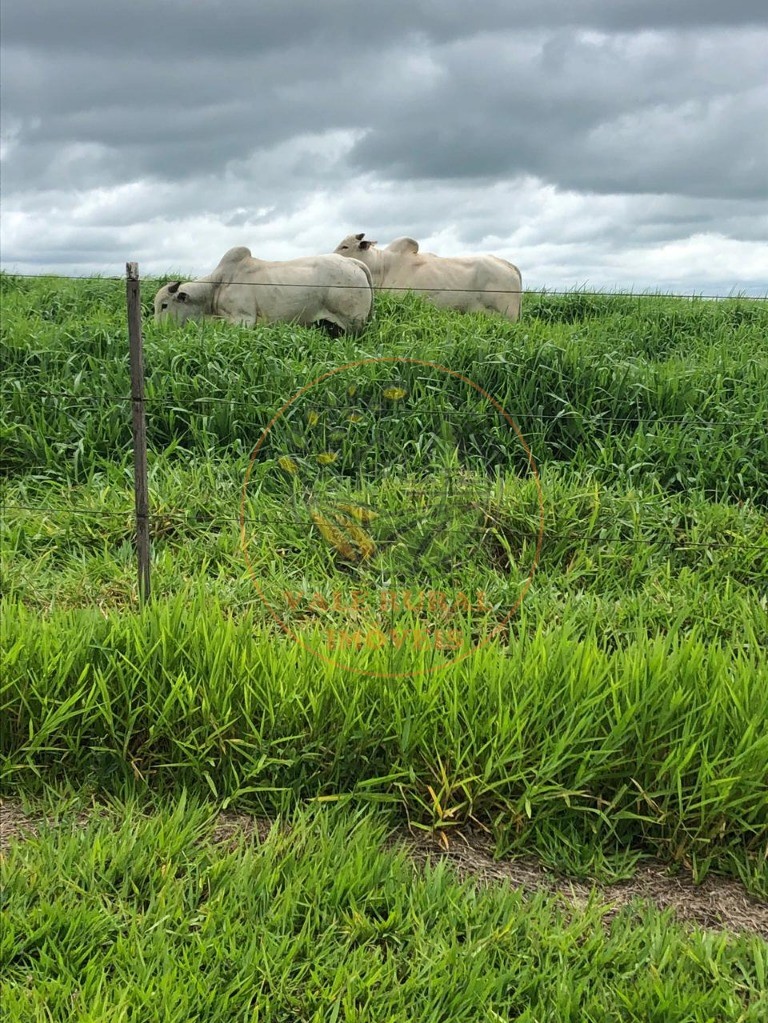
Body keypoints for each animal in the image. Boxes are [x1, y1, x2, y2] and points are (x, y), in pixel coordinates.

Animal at [152, 245, 372, 333]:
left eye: (164, 305)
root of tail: (353, 262)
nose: (157, 330)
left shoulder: (244, 319)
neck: (218, 285)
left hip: (353, 324)